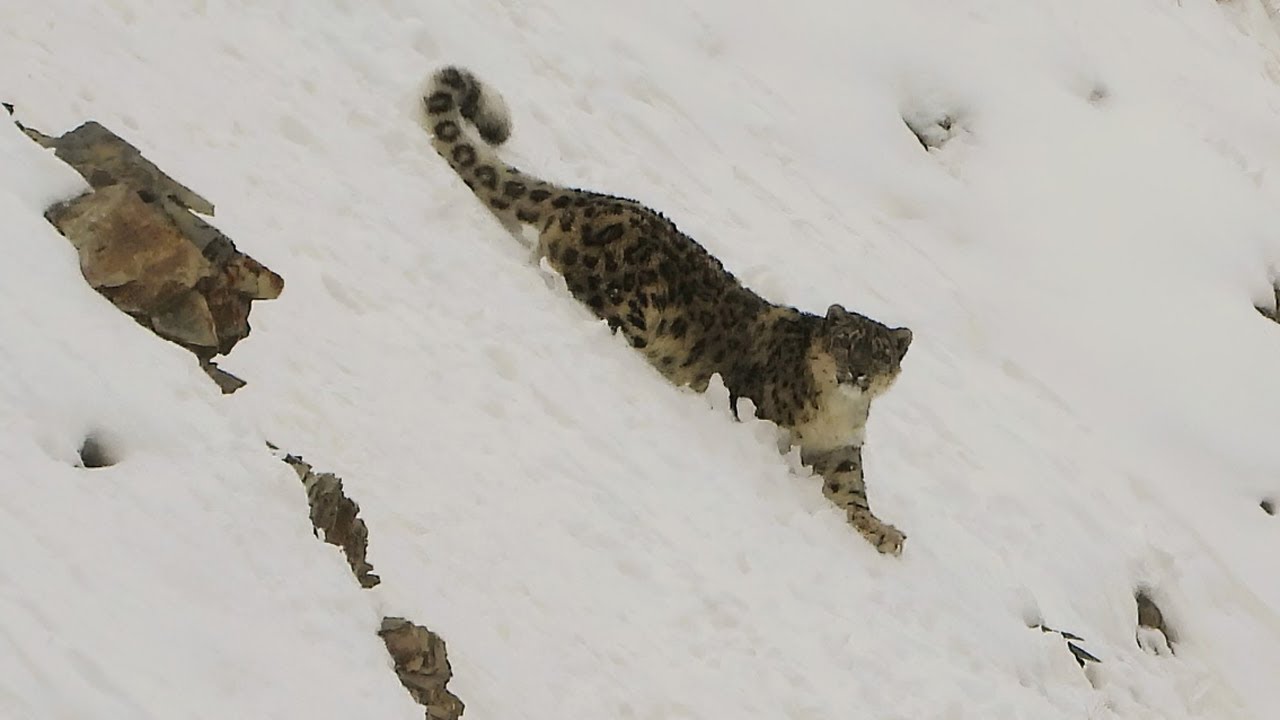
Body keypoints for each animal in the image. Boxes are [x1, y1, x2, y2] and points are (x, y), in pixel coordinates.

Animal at [421, 66, 913, 555]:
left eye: (879, 355)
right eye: (845, 342)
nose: (857, 373)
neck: (837, 412)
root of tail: (589, 199)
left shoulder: (841, 455)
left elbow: (853, 496)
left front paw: (886, 532)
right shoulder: (768, 419)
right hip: (635, 300)